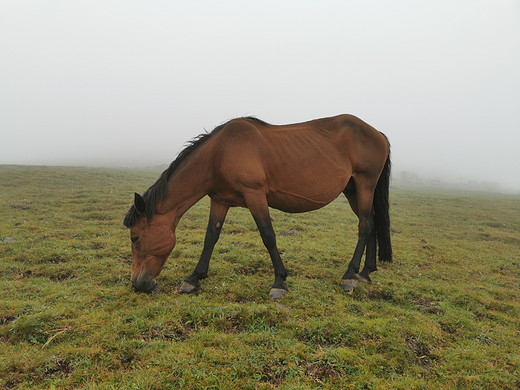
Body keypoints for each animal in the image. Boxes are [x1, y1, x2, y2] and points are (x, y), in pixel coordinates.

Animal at [124, 114, 390, 298]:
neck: (219, 154)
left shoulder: (255, 195)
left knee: (365, 227)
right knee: (372, 223)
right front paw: (194, 278)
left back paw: (350, 275)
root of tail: (377, 132)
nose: (138, 283)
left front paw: (279, 282)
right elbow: (210, 237)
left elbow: (268, 235)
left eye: (135, 238)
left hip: (365, 185)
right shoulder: (220, 200)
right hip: (353, 190)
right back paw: (365, 273)